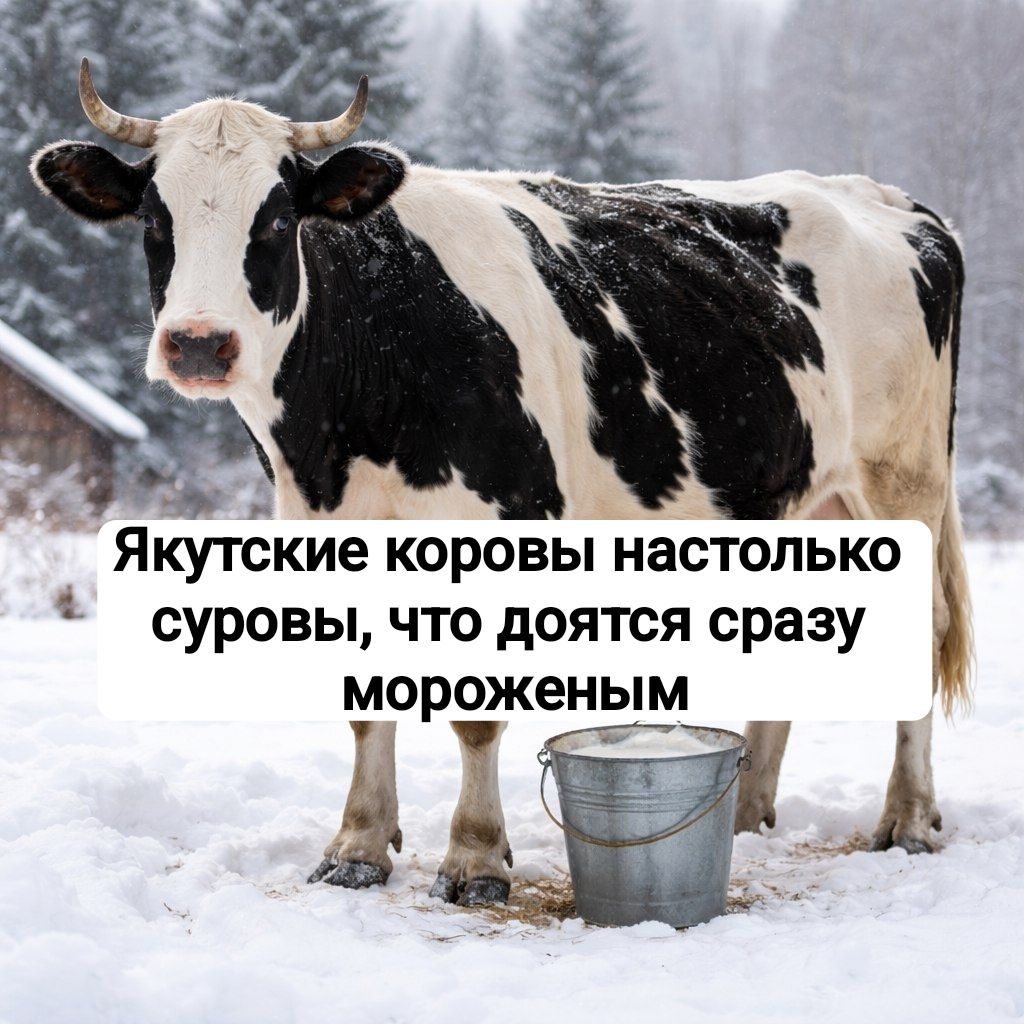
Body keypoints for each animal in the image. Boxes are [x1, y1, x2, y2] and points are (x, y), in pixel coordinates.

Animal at [32, 61, 972, 906]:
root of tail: (886, 197)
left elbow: (477, 708)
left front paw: (476, 858)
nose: (197, 344)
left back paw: (909, 819)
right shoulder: (326, 525)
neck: (347, 421)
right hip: (800, 500)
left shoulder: (501, 518)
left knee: (921, 631)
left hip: (903, 481)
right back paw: (743, 812)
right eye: (155, 219)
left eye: (275, 218)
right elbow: (364, 699)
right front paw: (357, 846)